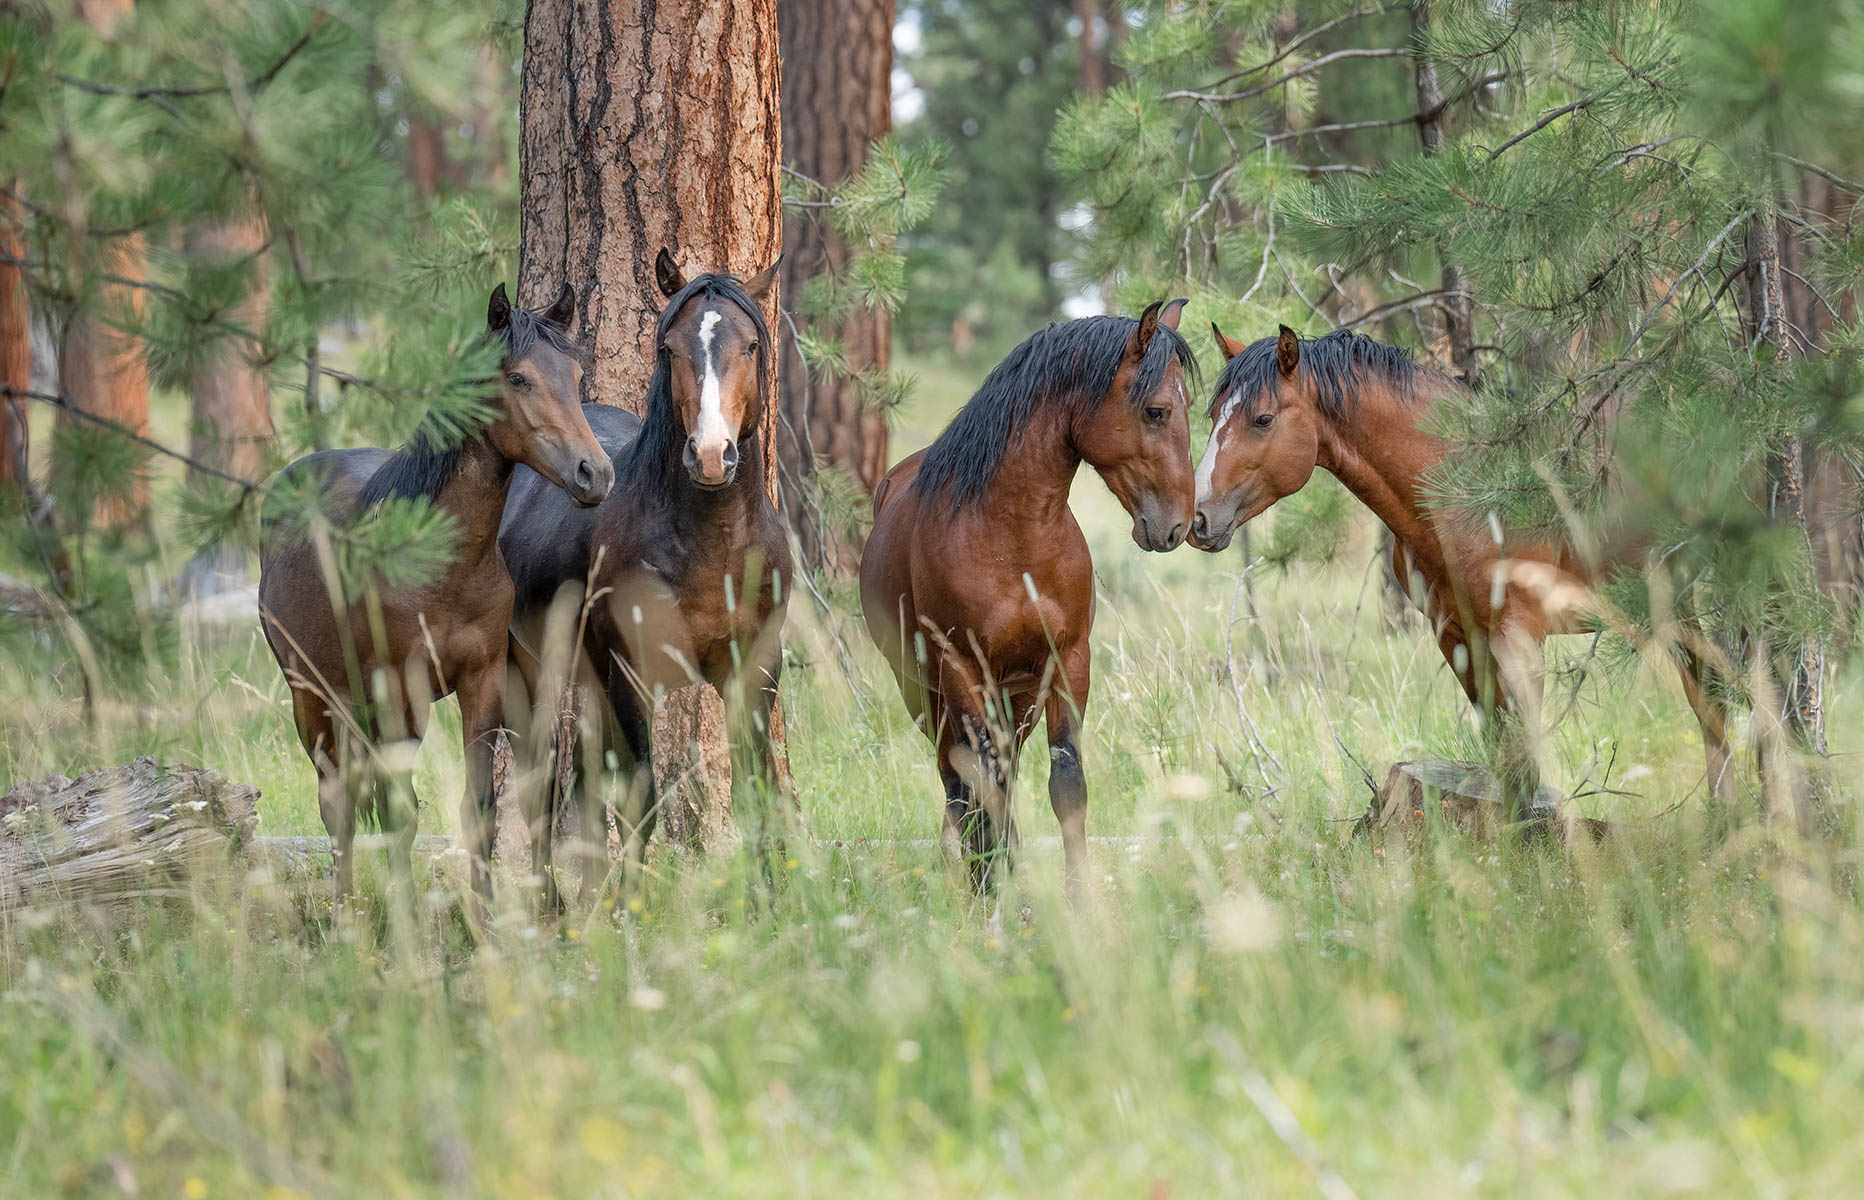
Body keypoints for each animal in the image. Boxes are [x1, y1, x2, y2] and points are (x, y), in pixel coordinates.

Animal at [259, 283, 611, 901]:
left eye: (573, 373)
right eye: (518, 378)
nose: (594, 473)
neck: (444, 570)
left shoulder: (482, 683)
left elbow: (481, 808)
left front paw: (488, 914)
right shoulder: (401, 691)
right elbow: (400, 813)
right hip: (313, 696)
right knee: (337, 805)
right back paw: (344, 907)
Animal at [495, 247, 786, 905]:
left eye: (752, 345)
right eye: (668, 348)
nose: (711, 456)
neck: (713, 546)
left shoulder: (754, 668)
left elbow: (757, 791)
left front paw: (771, 903)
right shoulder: (630, 672)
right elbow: (641, 797)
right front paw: (629, 910)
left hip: (589, 680)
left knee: (583, 781)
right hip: (535, 672)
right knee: (543, 787)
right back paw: (552, 905)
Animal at [857, 300, 1192, 890]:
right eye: (1156, 411)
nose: (1176, 524)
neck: (1014, 539)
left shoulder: (1066, 664)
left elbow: (1067, 785)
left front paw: (1076, 896)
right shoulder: (964, 669)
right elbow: (980, 787)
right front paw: (991, 887)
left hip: (1017, 698)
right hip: (928, 695)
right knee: (960, 782)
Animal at [1185, 324, 1737, 816]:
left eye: (1262, 419)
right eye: (1213, 413)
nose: (1198, 518)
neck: (1460, 480)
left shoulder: (1519, 636)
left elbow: (1526, 761)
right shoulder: (1457, 635)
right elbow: (1504, 756)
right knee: (1708, 696)